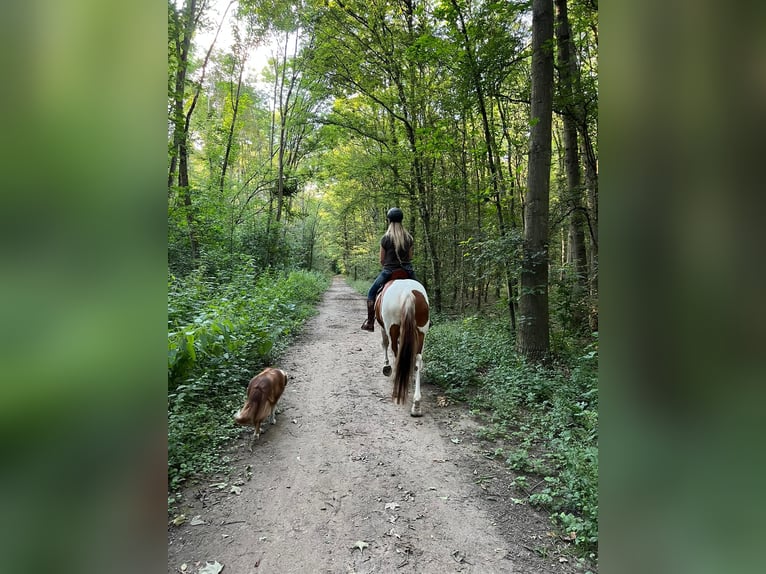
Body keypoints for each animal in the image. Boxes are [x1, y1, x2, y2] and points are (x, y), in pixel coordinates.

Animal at [376, 276, 432, 416]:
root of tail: (407, 292)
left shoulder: (383, 328)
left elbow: (384, 343)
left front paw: (386, 367)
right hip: (421, 331)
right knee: (418, 359)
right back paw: (416, 404)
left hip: (393, 328)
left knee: (396, 353)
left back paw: (397, 389)